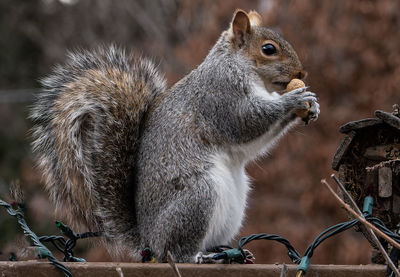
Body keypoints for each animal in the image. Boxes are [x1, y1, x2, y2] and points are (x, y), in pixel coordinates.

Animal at [29, 9, 318, 262]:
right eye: (268, 49)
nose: (302, 73)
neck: (239, 66)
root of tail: (149, 241)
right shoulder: (220, 95)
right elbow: (245, 122)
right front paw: (293, 99)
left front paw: (311, 106)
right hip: (198, 197)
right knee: (177, 252)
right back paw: (199, 257)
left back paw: (228, 253)